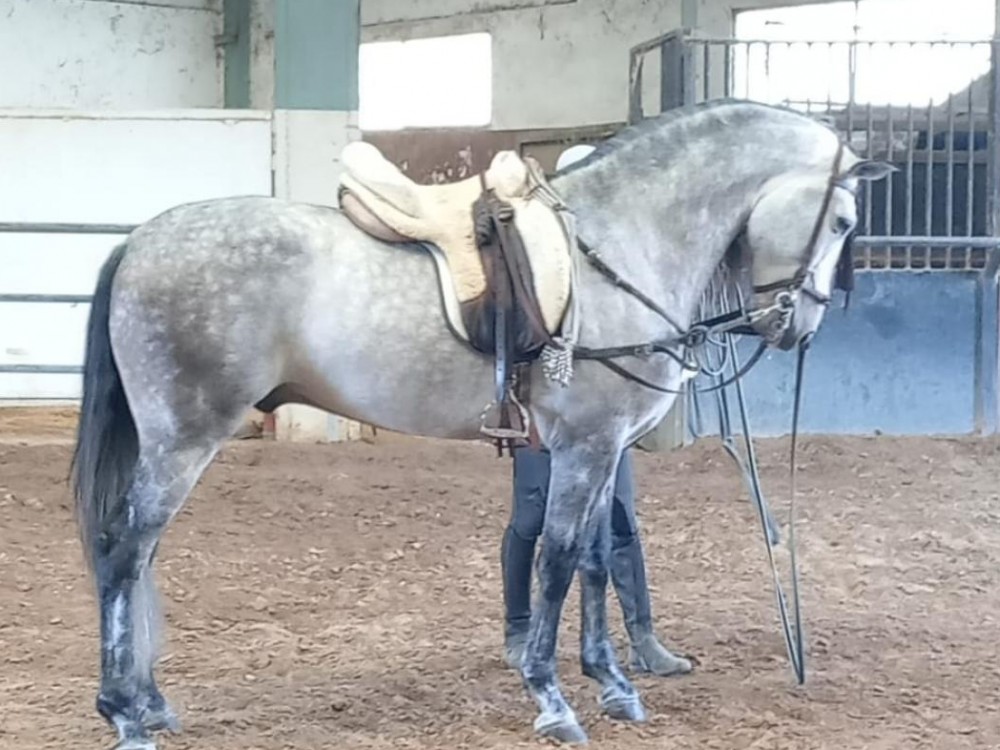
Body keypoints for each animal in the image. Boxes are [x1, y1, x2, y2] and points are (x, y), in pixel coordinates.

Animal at [70, 99, 892, 749]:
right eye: (842, 220)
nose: (799, 324)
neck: (619, 246)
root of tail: (138, 241)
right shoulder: (584, 449)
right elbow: (558, 560)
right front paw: (554, 699)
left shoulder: (599, 452)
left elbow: (597, 560)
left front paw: (614, 685)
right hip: (181, 442)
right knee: (121, 551)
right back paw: (127, 714)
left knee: (137, 558)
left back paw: (150, 702)